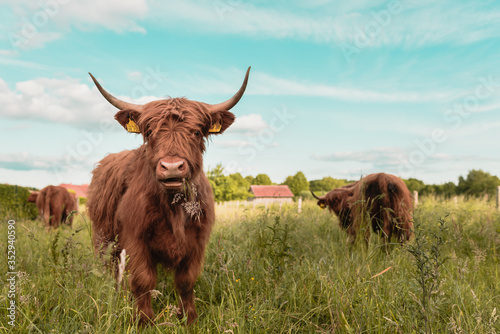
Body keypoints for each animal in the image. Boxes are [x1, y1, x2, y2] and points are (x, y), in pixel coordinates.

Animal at [87, 66, 250, 324]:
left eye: (196, 132)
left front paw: (189, 318)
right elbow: (142, 280)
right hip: (103, 236)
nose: (172, 167)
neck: (174, 208)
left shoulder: (197, 242)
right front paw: (144, 320)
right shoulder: (135, 239)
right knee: (110, 268)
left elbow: (186, 281)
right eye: (149, 131)